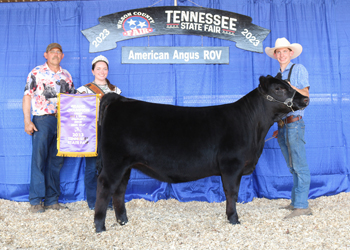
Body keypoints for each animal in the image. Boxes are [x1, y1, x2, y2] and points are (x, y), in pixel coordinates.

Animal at [93, 74, 308, 232]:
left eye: (289, 84)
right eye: (278, 89)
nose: (305, 98)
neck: (255, 130)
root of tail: (120, 99)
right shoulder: (232, 165)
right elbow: (232, 192)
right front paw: (233, 219)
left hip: (126, 165)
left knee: (119, 190)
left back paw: (123, 221)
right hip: (114, 162)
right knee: (105, 187)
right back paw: (99, 226)